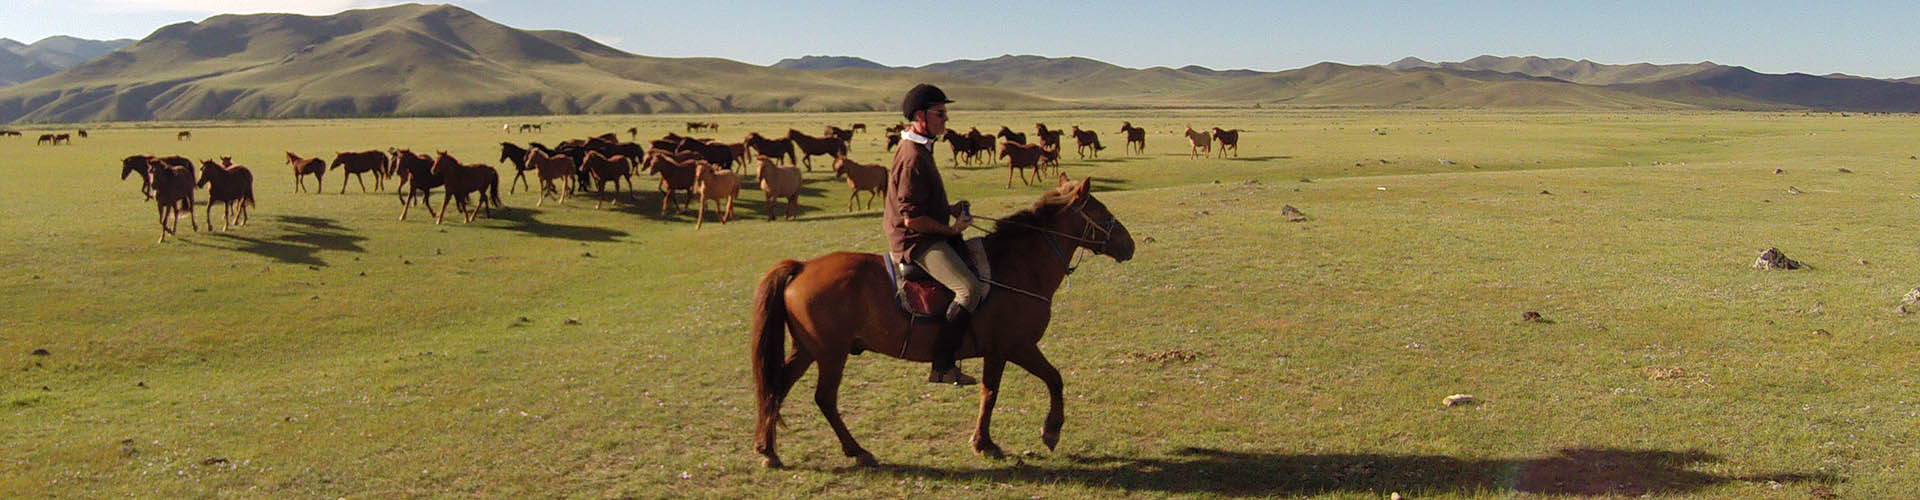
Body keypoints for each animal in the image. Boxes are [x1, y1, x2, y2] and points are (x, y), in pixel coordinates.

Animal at [749, 175, 1134, 468]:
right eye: (1102, 212)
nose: (1129, 244)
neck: (1020, 267)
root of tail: (802, 267)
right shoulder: (1015, 347)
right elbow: (1046, 381)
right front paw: (1045, 432)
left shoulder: (1000, 351)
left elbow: (991, 392)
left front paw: (984, 441)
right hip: (831, 354)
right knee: (824, 399)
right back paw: (857, 451)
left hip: (807, 350)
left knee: (776, 388)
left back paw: (768, 451)